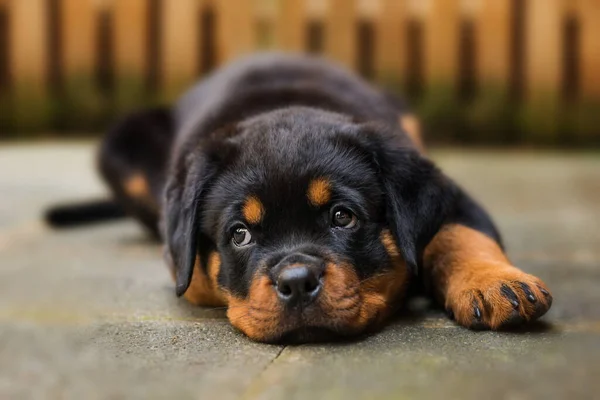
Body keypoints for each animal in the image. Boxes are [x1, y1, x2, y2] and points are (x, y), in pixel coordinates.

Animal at [48, 52, 552, 340]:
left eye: (343, 217)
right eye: (239, 234)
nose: (294, 282)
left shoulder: (452, 194)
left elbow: (459, 235)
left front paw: (496, 284)